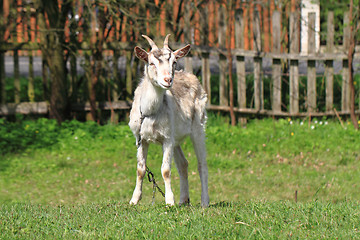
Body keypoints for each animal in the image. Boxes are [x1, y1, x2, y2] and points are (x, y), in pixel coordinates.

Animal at [129, 34, 208, 206]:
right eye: (151, 62)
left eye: (174, 62)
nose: (168, 80)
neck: (149, 112)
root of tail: (191, 75)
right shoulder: (141, 138)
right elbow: (140, 170)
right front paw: (134, 200)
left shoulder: (167, 139)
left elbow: (165, 170)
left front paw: (169, 201)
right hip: (175, 137)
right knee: (183, 164)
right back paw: (183, 200)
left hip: (198, 127)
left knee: (202, 165)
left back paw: (204, 202)